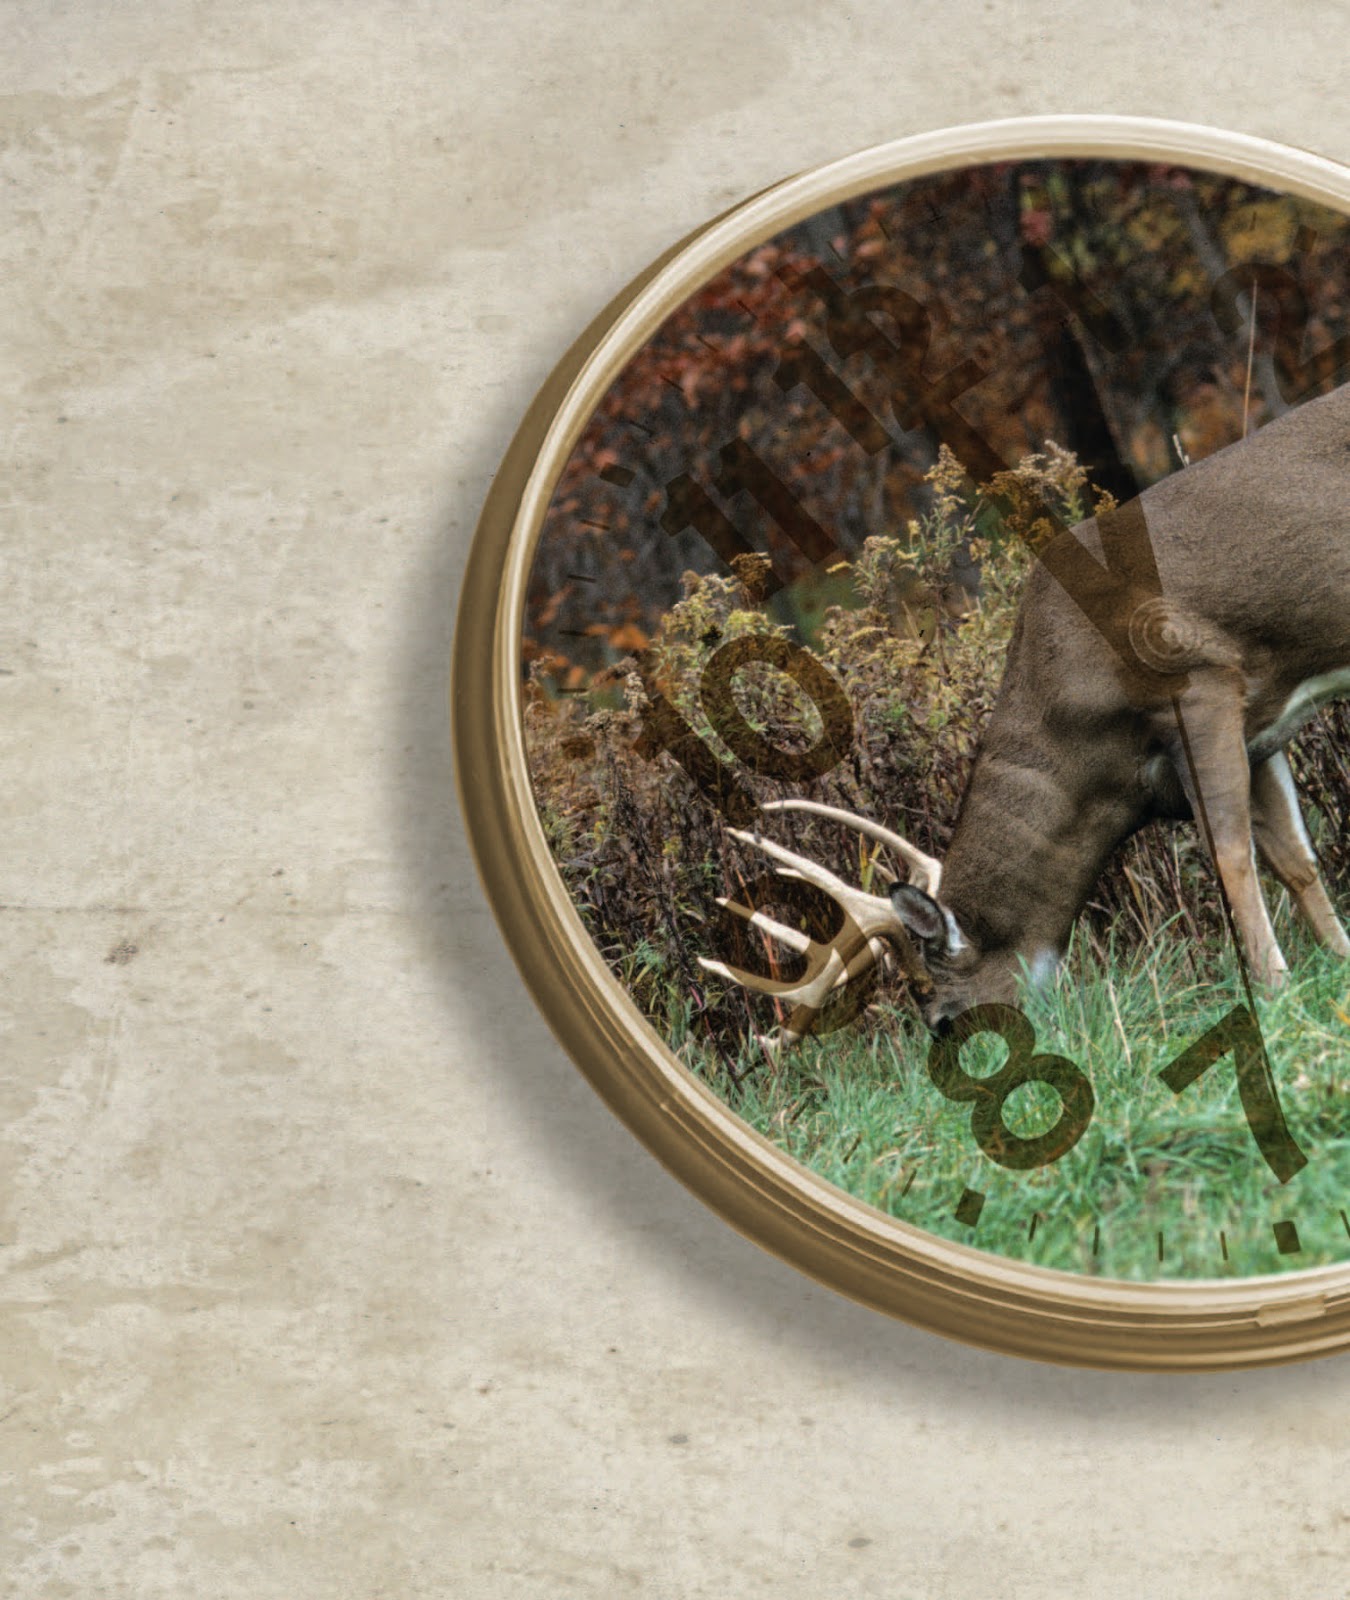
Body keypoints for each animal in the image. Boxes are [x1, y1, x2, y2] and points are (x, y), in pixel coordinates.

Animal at [700, 380, 1350, 1042]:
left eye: (938, 1015)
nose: (962, 1049)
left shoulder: (1201, 685)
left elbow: (1232, 857)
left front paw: (1274, 990)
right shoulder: (1260, 721)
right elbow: (1295, 859)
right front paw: (1336, 964)